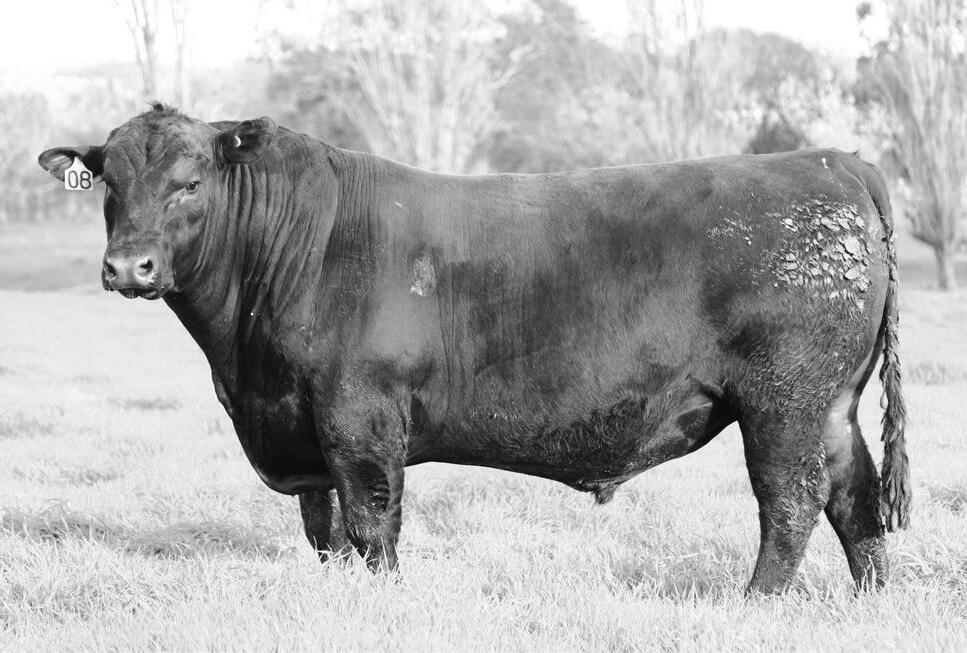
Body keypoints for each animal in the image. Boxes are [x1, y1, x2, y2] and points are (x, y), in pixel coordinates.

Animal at [39, 104, 909, 595]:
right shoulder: (300, 428)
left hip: (783, 400)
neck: (243, 366)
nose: (128, 266)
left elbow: (371, 524)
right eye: (110, 180)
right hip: (829, 405)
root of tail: (833, 162)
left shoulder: (359, 419)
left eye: (191, 181)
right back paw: (870, 602)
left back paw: (754, 601)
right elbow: (324, 533)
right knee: (854, 498)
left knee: (790, 500)